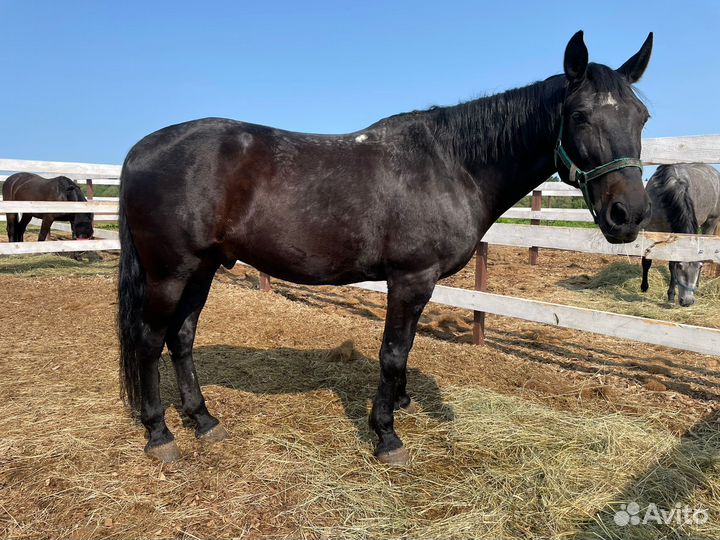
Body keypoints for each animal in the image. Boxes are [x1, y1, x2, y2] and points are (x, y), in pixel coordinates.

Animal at [118, 31, 653, 465]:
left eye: (642, 116)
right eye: (579, 116)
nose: (628, 215)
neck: (451, 165)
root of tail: (140, 149)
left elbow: (406, 348)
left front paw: (399, 403)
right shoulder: (411, 277)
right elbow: (393, 352)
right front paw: (386, 435)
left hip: (203, 268)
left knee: (181, 338)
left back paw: (203, 420)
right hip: (170, 272)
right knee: (148, 340)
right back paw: (160, 434)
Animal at [640, 163, 720, 306]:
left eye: (699, 267)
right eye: (681, 266)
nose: (688, 301)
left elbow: (671, 264)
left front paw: (671, 295)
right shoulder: (649, 229)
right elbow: (647, 261)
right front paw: (644, 287)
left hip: (711, 223)